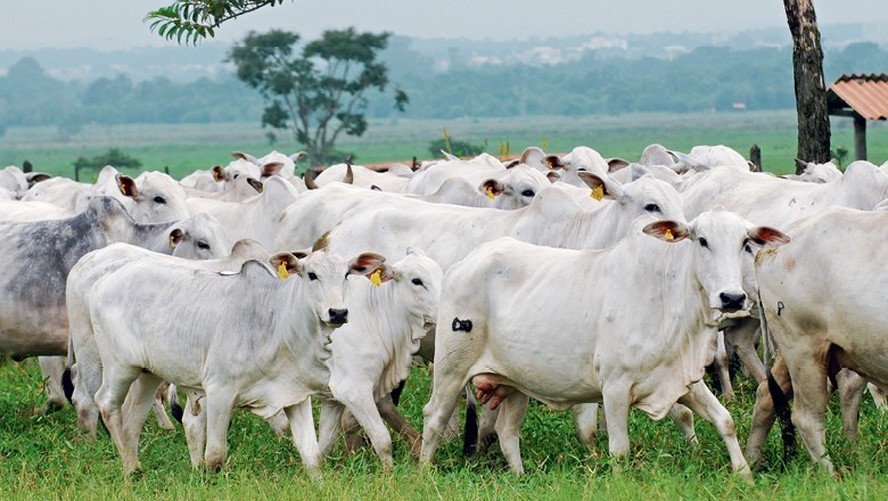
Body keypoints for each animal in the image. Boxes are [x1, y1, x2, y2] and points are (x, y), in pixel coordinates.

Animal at [86, 244, 386, 474]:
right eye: (311, 274)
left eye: (346, 274)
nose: (338, 312)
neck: (276, 323)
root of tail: (106, 277)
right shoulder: (219, 391)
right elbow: (215, 455)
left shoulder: (295, 396)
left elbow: (311, 455)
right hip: (118, 366)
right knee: (106, 404)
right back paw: (131, 468)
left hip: (148, 373)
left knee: (132, 421)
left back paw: (133, 467)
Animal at [416, 209, 784, 478]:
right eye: (702, 240)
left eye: (745, 243)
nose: (732, 297)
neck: (666, 299)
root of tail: (463, 264)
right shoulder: (616, 388)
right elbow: (619, 449)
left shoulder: (682, 380)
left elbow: (724, 420)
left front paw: (744, 474)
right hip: (451, 368)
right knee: (434, 417)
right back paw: (424, 472)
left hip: (516, 382)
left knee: (507, 433)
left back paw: (519, 476)